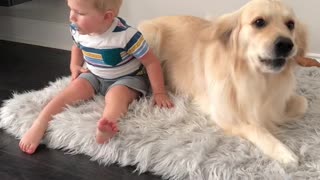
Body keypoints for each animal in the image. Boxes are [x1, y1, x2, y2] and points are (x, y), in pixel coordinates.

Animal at [139, 0, 308, 166]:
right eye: (259, 22)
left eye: (290, 24)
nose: (286, 44)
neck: (255, 78)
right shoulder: (224, 113)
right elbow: (257, 129)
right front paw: (283, 151)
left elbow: (303, 103)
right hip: (152, 36)